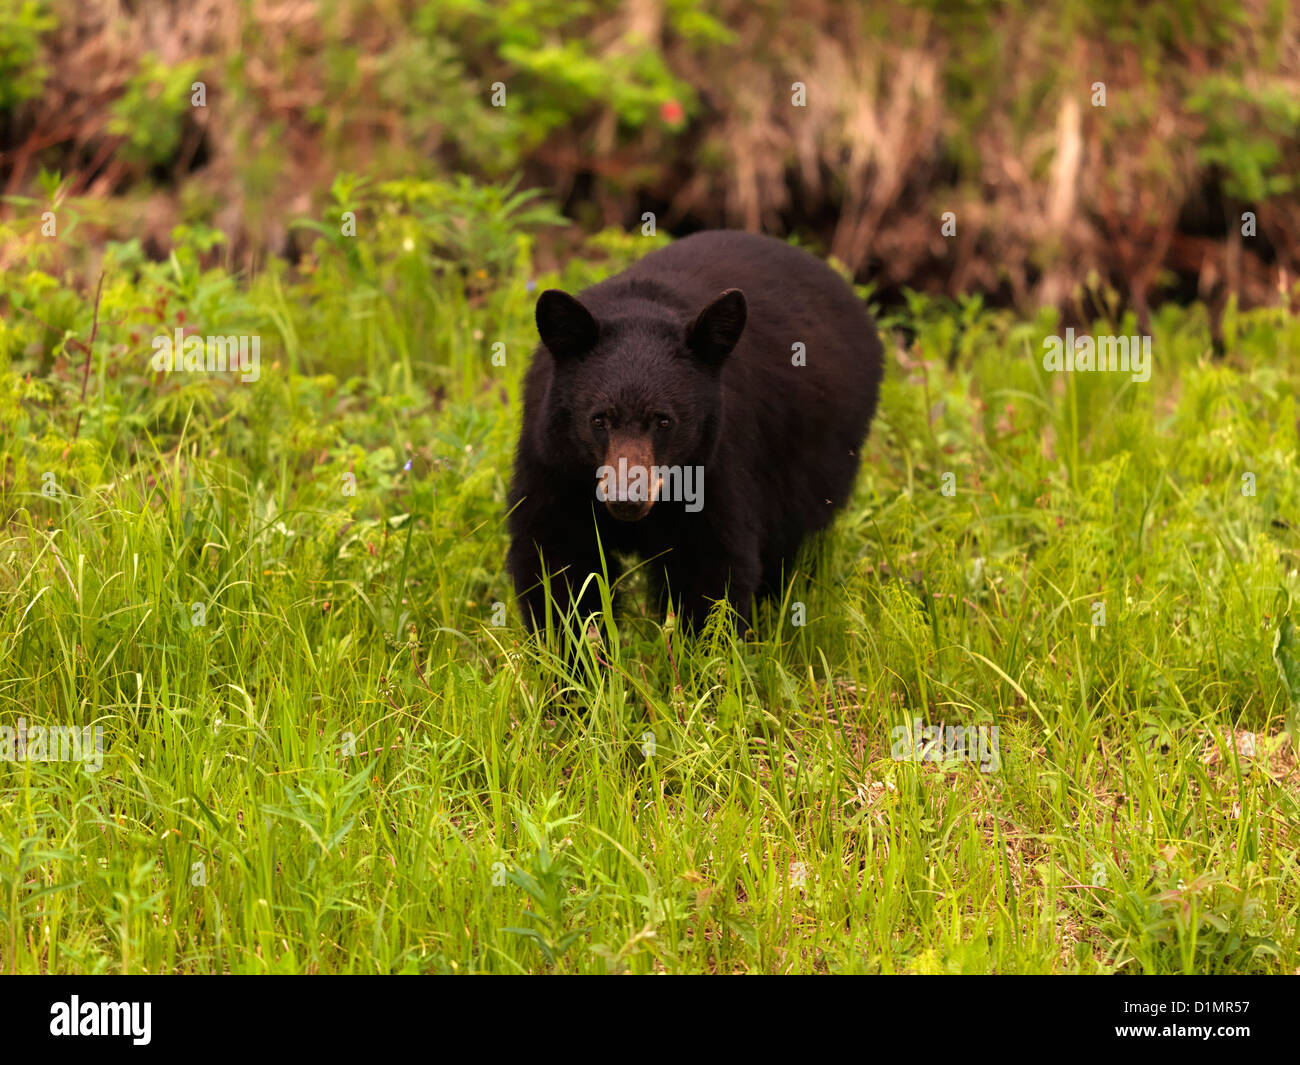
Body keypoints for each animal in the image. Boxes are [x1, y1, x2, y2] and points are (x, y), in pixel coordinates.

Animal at [506, 229, 884, 641]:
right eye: (599, 420)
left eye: (663, 421)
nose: (626, 500)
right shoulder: (554, 462)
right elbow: (558, 560)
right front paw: (571, 650)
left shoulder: (715, 463)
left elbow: (712, 566)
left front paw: (706, 650)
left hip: (817, 454)